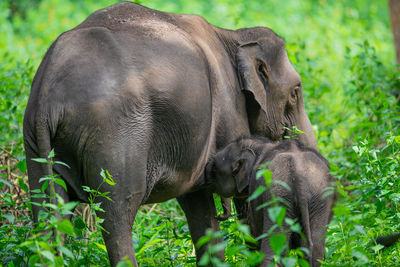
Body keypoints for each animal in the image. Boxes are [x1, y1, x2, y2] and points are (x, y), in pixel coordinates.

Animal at [23, 1, 318, 266]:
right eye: (296, 92)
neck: (232, 36)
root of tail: (49, 91)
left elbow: (199, 206)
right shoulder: (229, 105)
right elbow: (246, 198)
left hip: (35, 142)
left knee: (49, 210)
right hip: (113, 135)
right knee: (117, 211)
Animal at [206, 138, 334, 267]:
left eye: (214, 169)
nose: (218, 216)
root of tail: (298, 176)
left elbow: (254, 235)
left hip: (277, 199)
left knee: (272, 253)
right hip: (319, 199)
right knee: (315, 250)